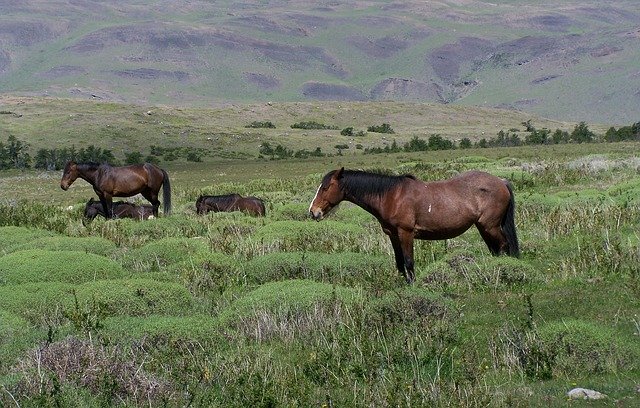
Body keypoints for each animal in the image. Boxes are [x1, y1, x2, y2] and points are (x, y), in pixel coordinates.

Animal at [308, 168, 520, 284]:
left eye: (325, 187)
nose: (313, 212)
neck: (391, 196)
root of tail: (501, 182)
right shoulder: (393, 235)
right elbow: (400, 263)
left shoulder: (406, 233)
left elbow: (409, 262)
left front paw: (413, 285)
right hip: (483, 227)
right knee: (495, 248)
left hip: (490, 226)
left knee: (503, 245)